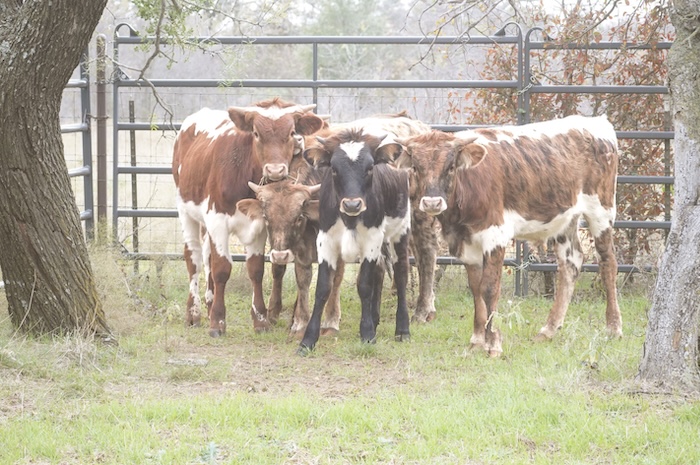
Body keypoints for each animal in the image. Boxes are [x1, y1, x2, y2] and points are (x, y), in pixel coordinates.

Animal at [172, 98, 325, 337]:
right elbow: (222, 269)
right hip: (186, 212)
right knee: (193, 258)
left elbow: (256, 269)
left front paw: (260, 320)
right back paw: (194, 313)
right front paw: (217, 322)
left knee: (206, 256)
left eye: (292, 132)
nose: (275, 170)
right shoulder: (217, 221)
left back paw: (209, 303)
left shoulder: (259, 225)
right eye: (256, 133)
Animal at [299, 129, 412, 352]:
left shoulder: (371, 239)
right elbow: (323, 288)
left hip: (399, 233)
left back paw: (402, 329)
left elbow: (364, 285)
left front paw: (367, 333)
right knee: (380, 272)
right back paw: (375, 319)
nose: (352, 204)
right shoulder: (326, 241)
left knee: (401, 273)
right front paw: (308, 339)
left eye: (370, 168)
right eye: (334, 169)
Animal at [393, 115, 623, 356]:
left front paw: (493, 343)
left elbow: (489, 288)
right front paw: (477, 340)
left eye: (451, 166)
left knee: (608, 262)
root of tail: (597, 122)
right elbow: (475, 288)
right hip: (565, 219)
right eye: (416, 167)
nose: (432, 203)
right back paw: (548, 330)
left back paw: (613, 327)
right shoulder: (467, 243)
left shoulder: (495, 234)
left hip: (601, 210)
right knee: (571, 263)